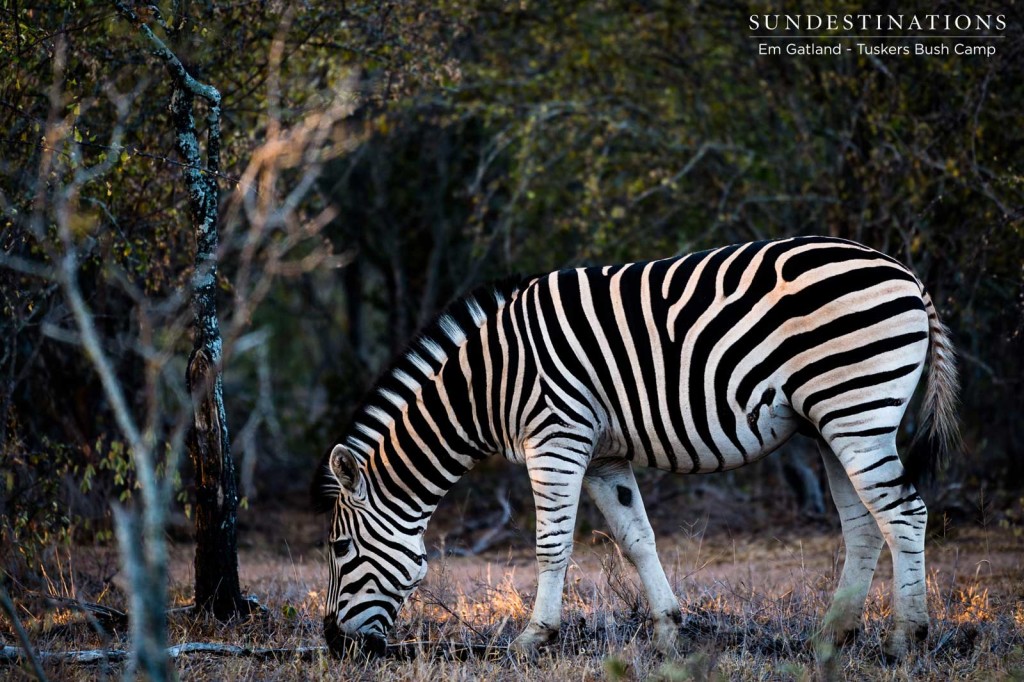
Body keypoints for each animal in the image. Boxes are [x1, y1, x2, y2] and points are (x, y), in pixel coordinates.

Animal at [309, 235, 958, 659]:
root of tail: (904, 271)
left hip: (855, 405)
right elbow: (637, 539)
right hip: (829, 420)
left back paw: (907, 639)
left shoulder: (557, 437)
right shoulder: (603, 457)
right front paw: (670, 633)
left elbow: (550, 546)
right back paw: (832, 636)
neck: (488, 384)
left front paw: (532, 638)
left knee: (904, 513)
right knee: (865, 523)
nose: (335, 644)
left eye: (339, 549)